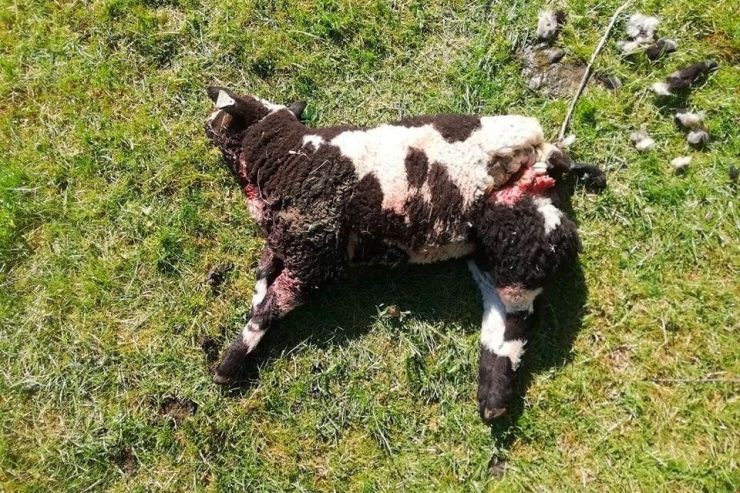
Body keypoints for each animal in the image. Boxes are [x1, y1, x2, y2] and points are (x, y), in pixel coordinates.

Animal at [204, 86, 601, 422]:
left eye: (223, 115)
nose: (204, 123)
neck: (286, 153)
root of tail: (543, 161)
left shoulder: (311, 255)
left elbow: (267, 311)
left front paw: (227, 368)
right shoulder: (283, 244)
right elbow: (261, 279)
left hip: (520, 251)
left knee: (517, 324)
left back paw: (494, 403)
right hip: (498, 251)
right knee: (501, 326)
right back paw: (492, 401)